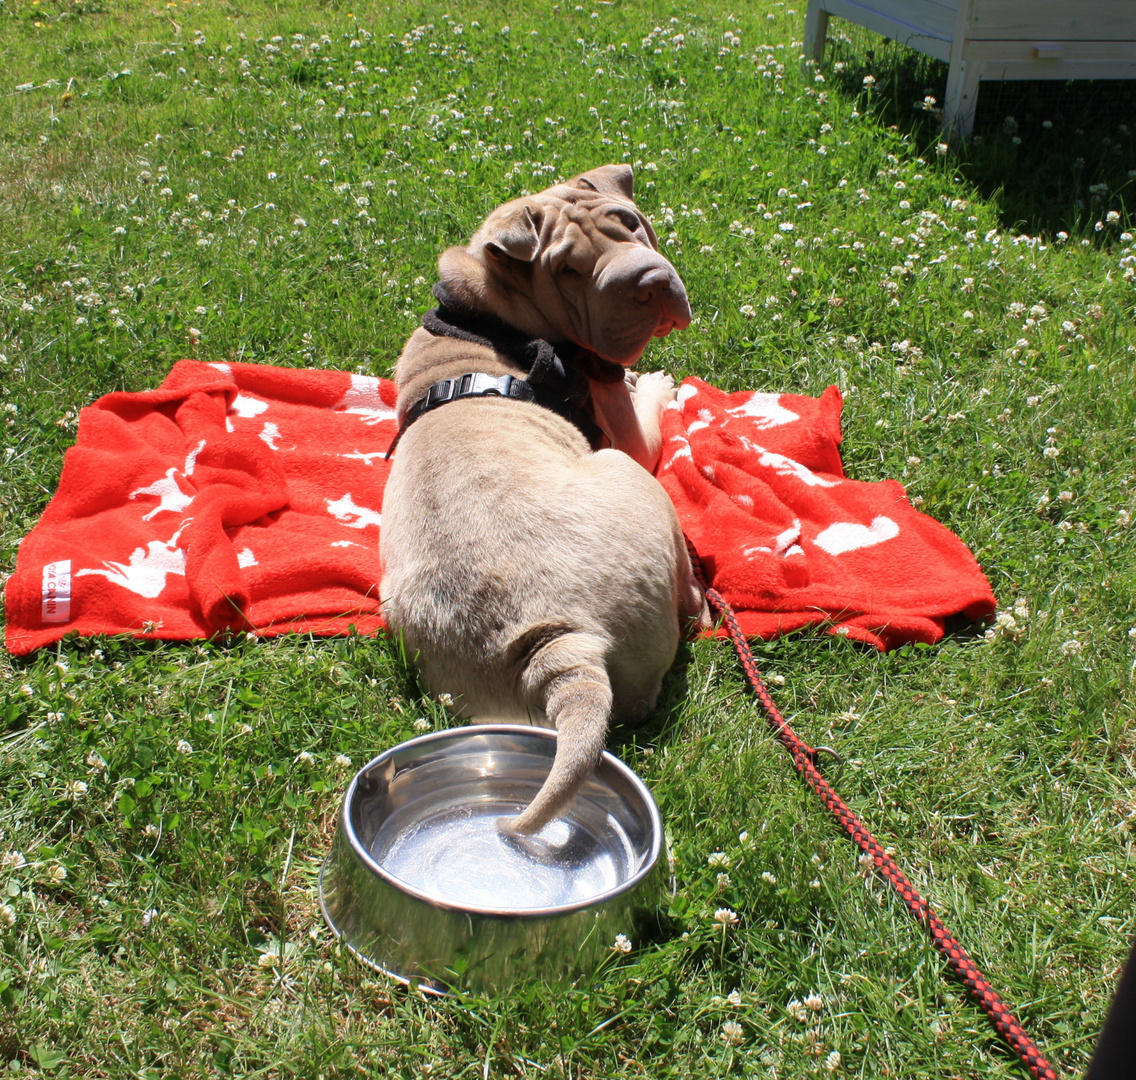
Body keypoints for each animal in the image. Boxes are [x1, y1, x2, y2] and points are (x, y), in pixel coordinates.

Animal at [377, 162, 704, 835]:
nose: (650, 281)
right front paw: (657, 384)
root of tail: (560, 646)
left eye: (630, 224)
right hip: (629, 479)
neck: (490, 316)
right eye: (569, 271)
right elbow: (650, 416)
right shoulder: (630, 440)